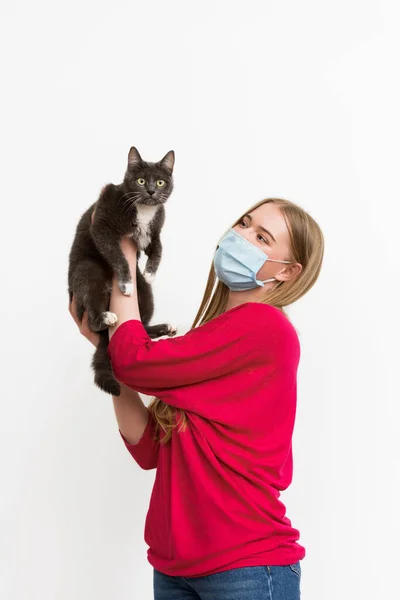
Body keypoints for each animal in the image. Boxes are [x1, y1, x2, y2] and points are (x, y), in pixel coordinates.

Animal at [68, 146, 177, 396]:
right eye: (140, 180)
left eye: (160, 182)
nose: (151, 191)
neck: (144, 210)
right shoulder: (101, 224)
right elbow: (117, 256)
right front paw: (126, 283)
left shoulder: (154, 228)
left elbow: (158, 247)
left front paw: (150, 272)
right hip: (87, 270)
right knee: (93, 318)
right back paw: (105, 317)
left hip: (145, 295)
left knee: (140, 328)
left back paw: (164, 327)